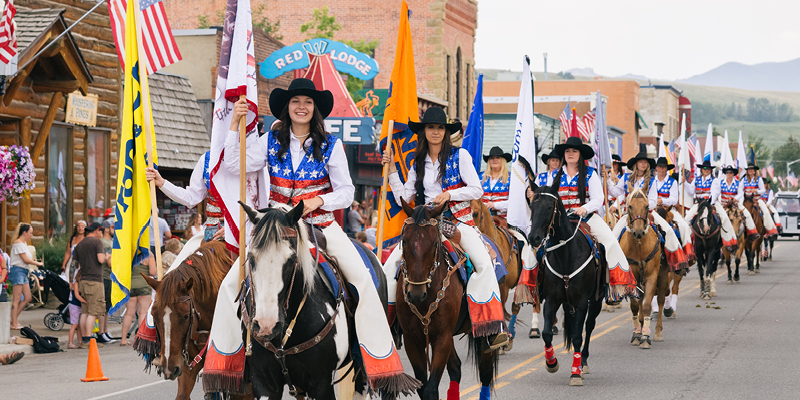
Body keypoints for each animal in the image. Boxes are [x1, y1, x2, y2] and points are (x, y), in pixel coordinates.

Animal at [528, 183, 604, 386]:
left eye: (549, 207)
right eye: (532, 206)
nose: (533, 238)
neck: (566, 255)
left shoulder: (581, 302)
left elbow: (578, 336)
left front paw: (575, 373)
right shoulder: (552, 300)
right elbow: (546, 333)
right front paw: (551, 363)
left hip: (596, 301)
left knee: (589, 327)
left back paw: (583, 362)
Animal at [620, 189, 668, 348]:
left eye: (647, 206)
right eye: (630, 206)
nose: (639, 232)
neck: (639, 246)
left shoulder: (652, 276)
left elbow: (647, 306)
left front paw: (646, 337)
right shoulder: (632, 278)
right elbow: (635, 306)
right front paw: (637, 335)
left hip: (663, 276)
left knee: (660, 301)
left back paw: (658, 332)